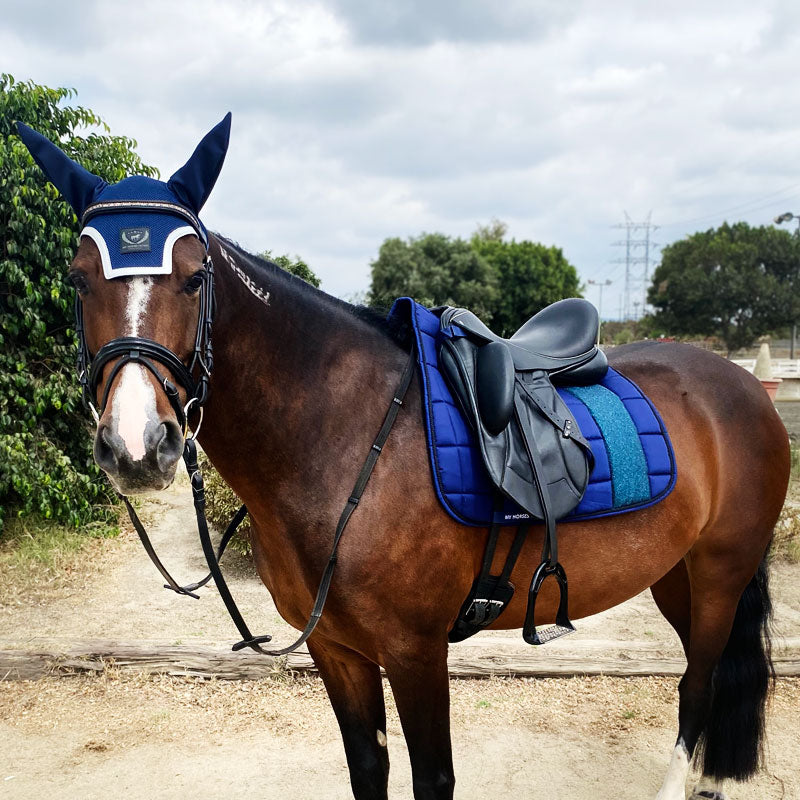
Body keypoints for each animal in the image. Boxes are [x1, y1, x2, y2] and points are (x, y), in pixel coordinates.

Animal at [18, 115, 788, 796]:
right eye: (78, 276)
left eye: (195, 276)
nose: (137, 446)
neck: (344, 439)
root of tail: (742, 385)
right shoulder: (337, 651)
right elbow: (369, 770)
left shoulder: (416, 653)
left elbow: (432, 778)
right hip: (676, 574)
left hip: (720, 574)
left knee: (699, 687)